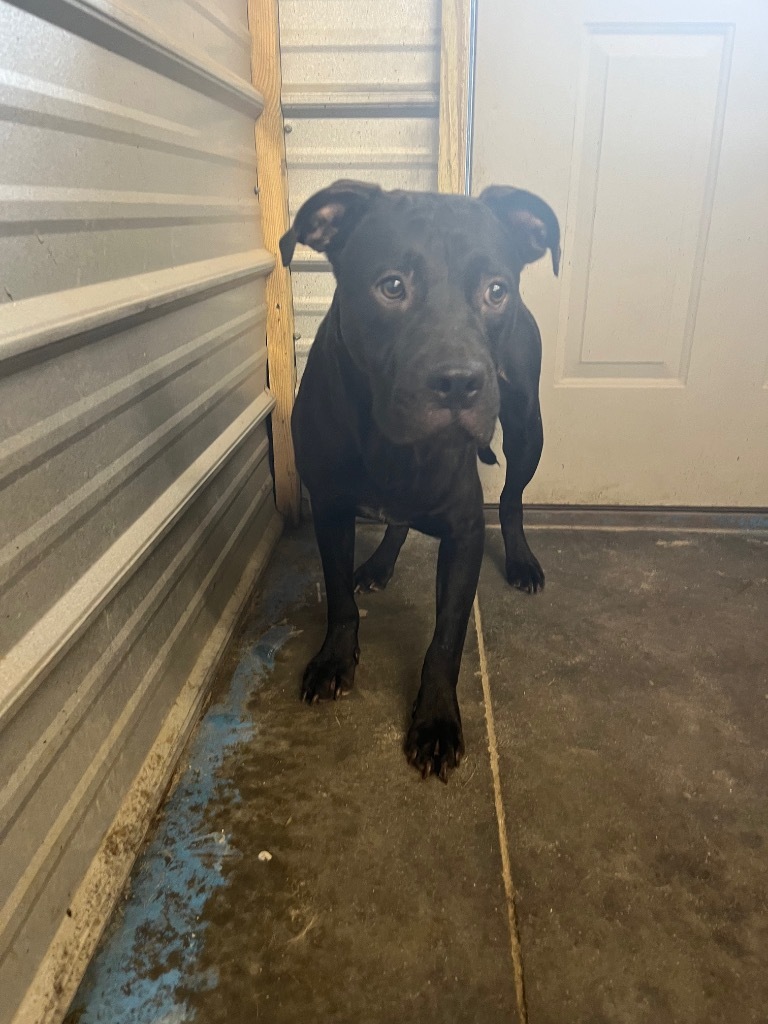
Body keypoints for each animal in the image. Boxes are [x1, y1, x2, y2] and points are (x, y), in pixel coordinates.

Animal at [280, 180, 561, 778]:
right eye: (392, 286)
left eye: (495, 290)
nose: (458, 382)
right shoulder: (330, 510)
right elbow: (339, 597)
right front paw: (334, 659)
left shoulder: (463, 532)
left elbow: (447, 637)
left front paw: (434, 720)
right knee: (398, 522)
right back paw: (380, 563)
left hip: (527, 427)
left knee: (512, 499)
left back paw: (521, 560)